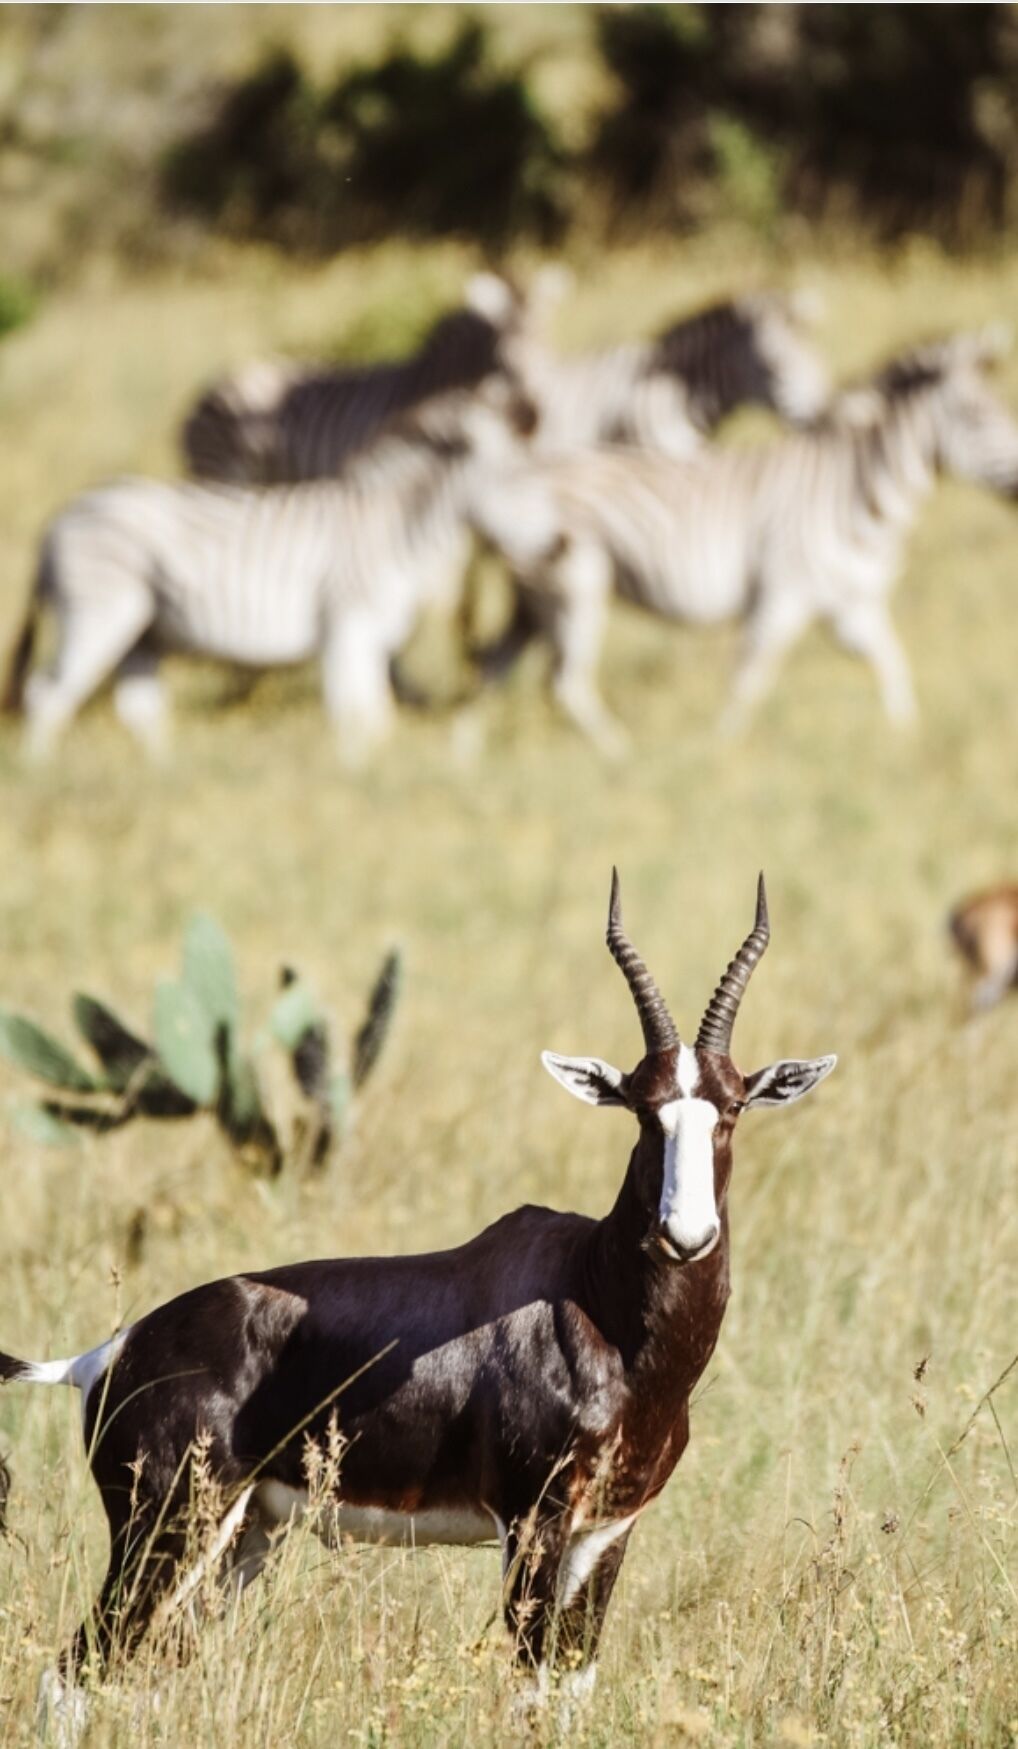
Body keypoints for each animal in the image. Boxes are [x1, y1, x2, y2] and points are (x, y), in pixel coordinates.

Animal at [1, 874, 835, 1736]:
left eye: (732, 1105)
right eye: (643, 1106)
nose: (685, 1233)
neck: (596, 1300)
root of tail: (107, 1354)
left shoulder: (608, 1530)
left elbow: (571, 1693)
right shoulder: (531, 1523)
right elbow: (530, 1695)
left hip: (239, 1540)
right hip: (167, 1530)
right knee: (69, 1675)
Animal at [2, 379, 537, 763]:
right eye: (522, 475)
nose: (542, 548)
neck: (394, 528)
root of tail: (56, 523)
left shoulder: (372, 640)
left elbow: (375, 718)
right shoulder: (348, 628)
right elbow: (357, 716)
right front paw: (355, 781)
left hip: (143, 633)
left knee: (140, 711)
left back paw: (168, 779)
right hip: (100, 614)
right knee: (45, 696)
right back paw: (42, 771)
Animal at [469, 326, 1018, 754]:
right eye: (979, 415)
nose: (1017, 484)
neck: (856, 490)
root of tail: (504, 483)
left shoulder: (851, 606)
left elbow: (893, 666)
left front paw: (906, 739)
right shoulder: (782, 596)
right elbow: (749, 680)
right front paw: (720, 748)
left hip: (533, 597)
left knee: (494, 667)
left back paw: (465, 760)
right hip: (575, 583)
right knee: (565, 685)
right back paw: (623, 754)